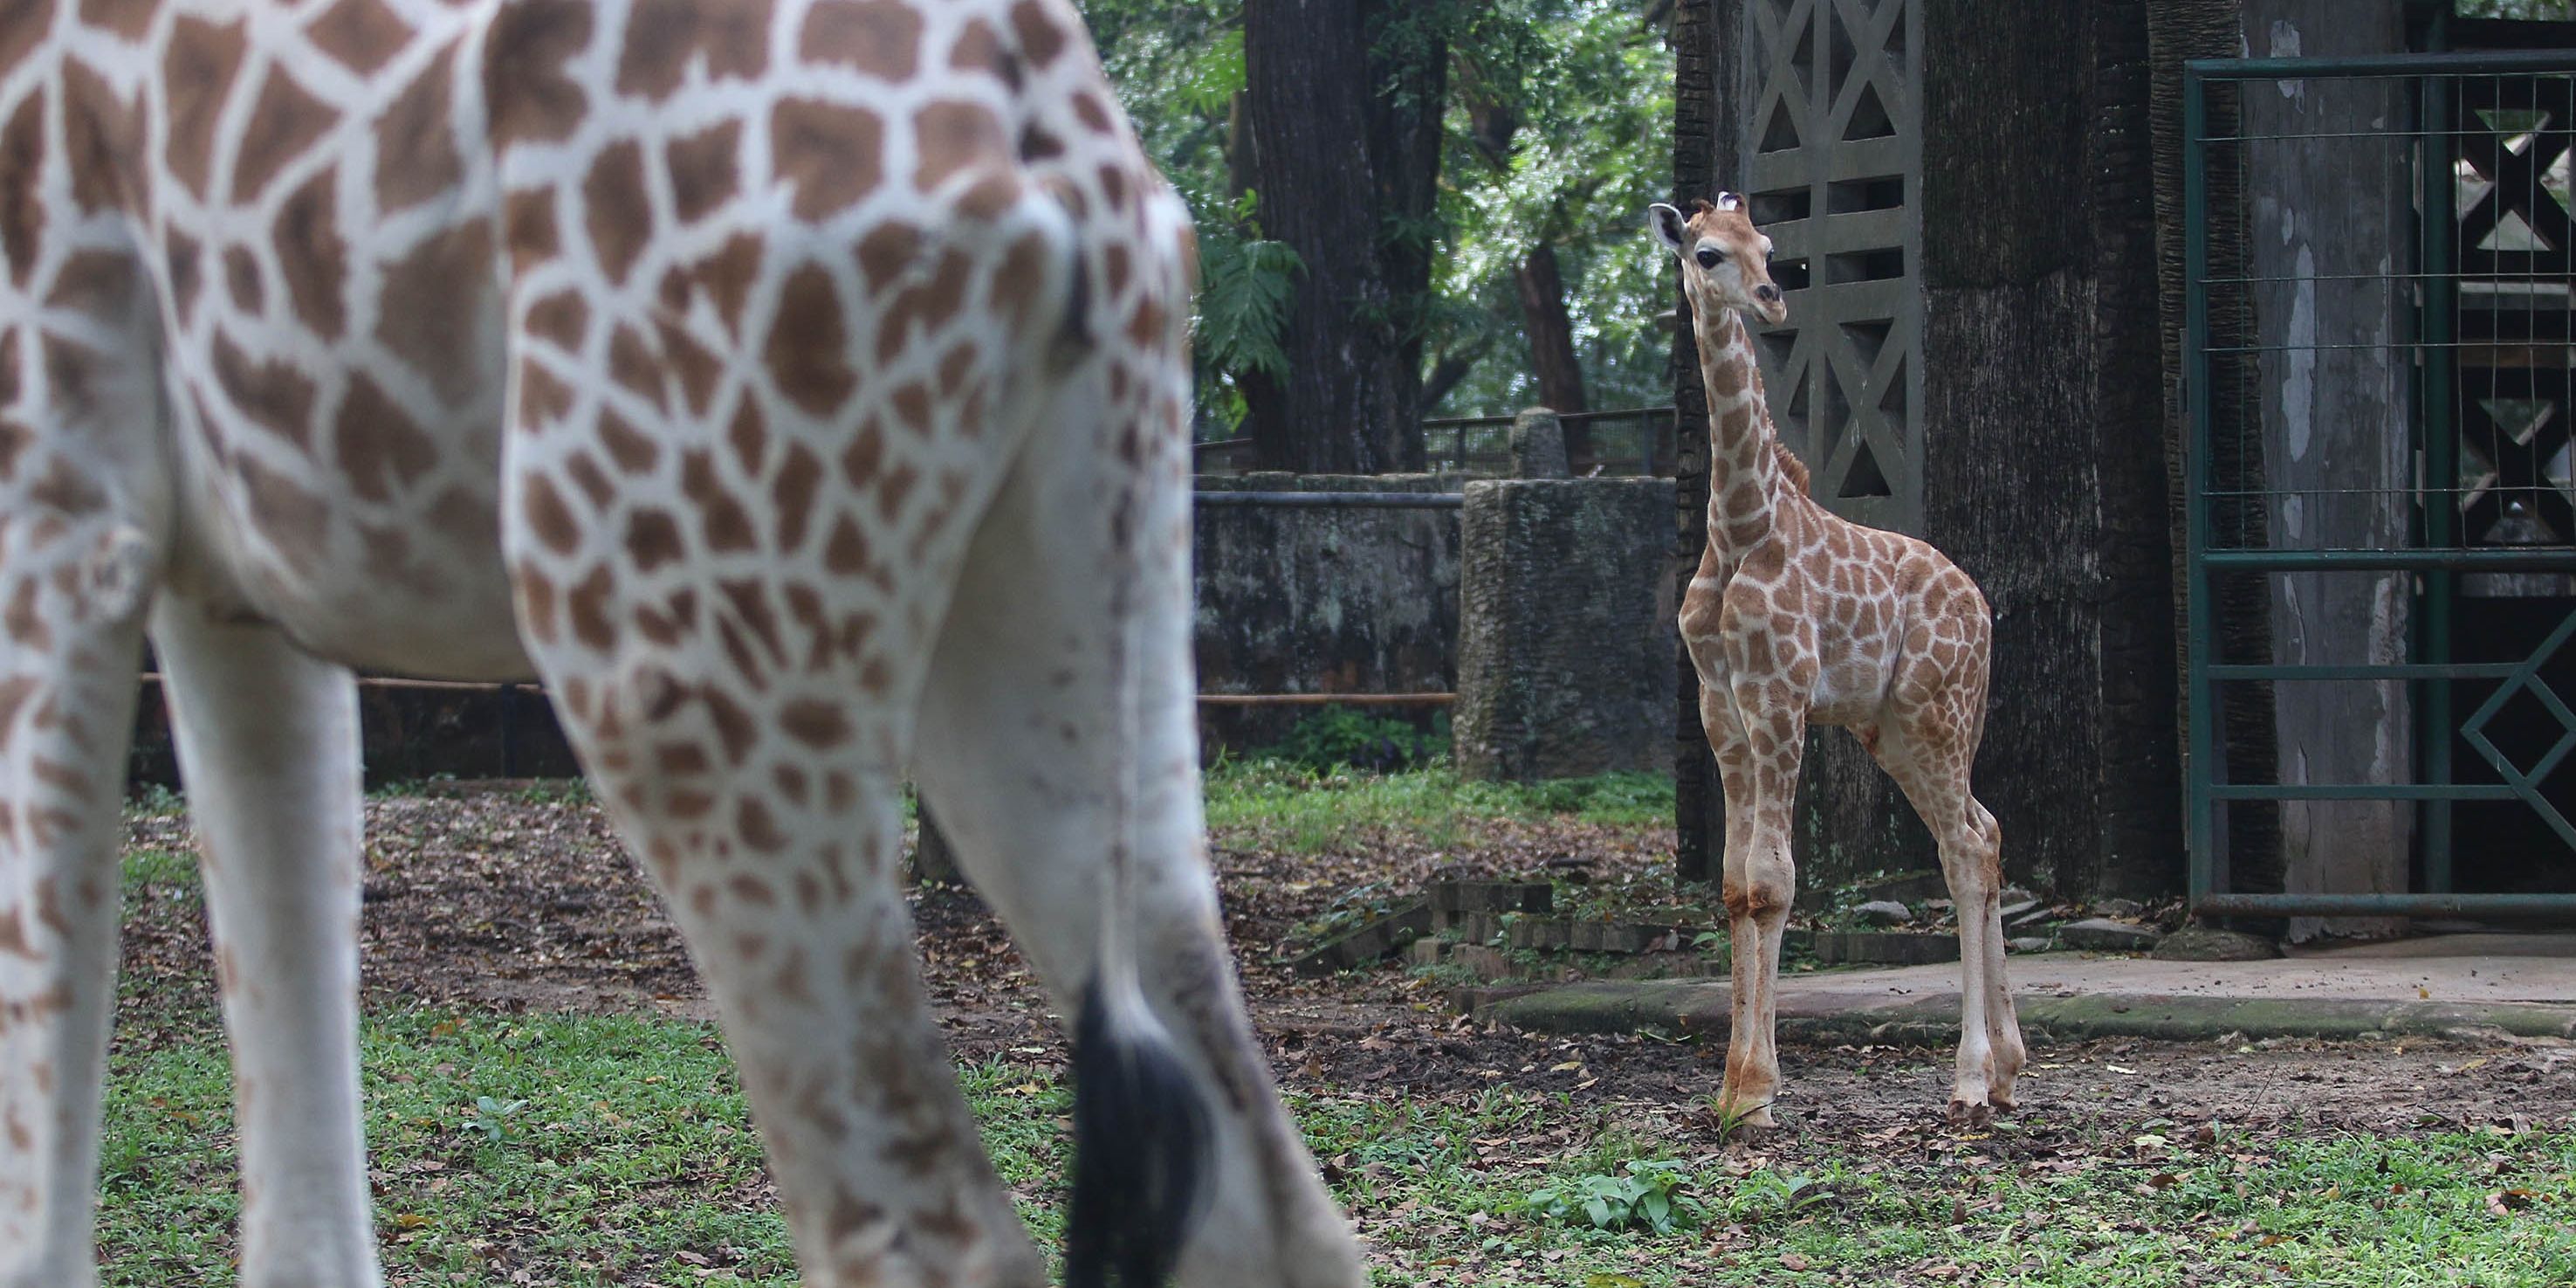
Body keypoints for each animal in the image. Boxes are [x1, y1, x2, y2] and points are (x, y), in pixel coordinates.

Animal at [0, 2, 1370, 1288]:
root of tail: (1035, 110)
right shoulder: (231, 588)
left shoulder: (58, 508)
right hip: (1065, 616)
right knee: (1273, 1202)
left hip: (665, 640)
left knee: (927, 1227)